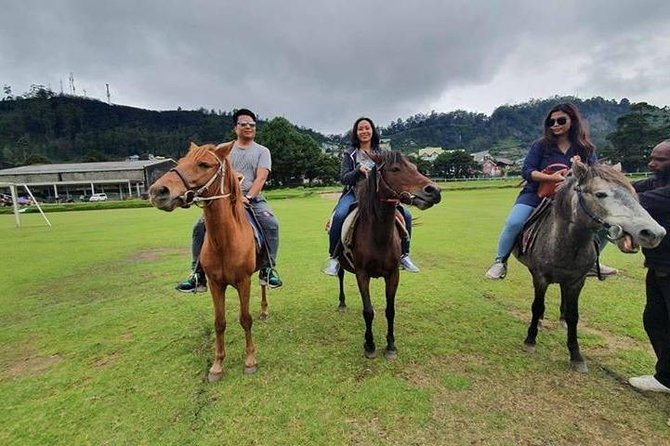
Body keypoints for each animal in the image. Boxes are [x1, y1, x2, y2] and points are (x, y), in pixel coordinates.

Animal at [150, 142, 268, 380]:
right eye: (181, 160)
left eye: (203, 164)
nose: (158, 191)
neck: (224, 241)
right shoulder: (215, 284)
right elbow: (219, 322)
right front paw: (217, 364)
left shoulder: (243, 281)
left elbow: (245, 319)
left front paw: (250, 360)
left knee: (263, 283)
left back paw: (264, 309)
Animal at [334, 152, 440, 360]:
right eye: (395, 169)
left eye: (415, 167)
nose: (434, 191)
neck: (379, 237)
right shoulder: (362, 274)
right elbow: (368, 311)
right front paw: (369, 345)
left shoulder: (393, 274)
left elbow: (390, 311)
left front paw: (391, 345)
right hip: (341, 262)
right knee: (340, 275)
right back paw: (341, 303)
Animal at [516, 160, 668, 372]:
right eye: (600, 194)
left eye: (633, 193)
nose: (654, 233)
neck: (566, 243)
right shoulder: (540, 277)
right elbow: (537, 307)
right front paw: (530, 340)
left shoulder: (577, 281)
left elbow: (573, 316)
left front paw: (576, 356)